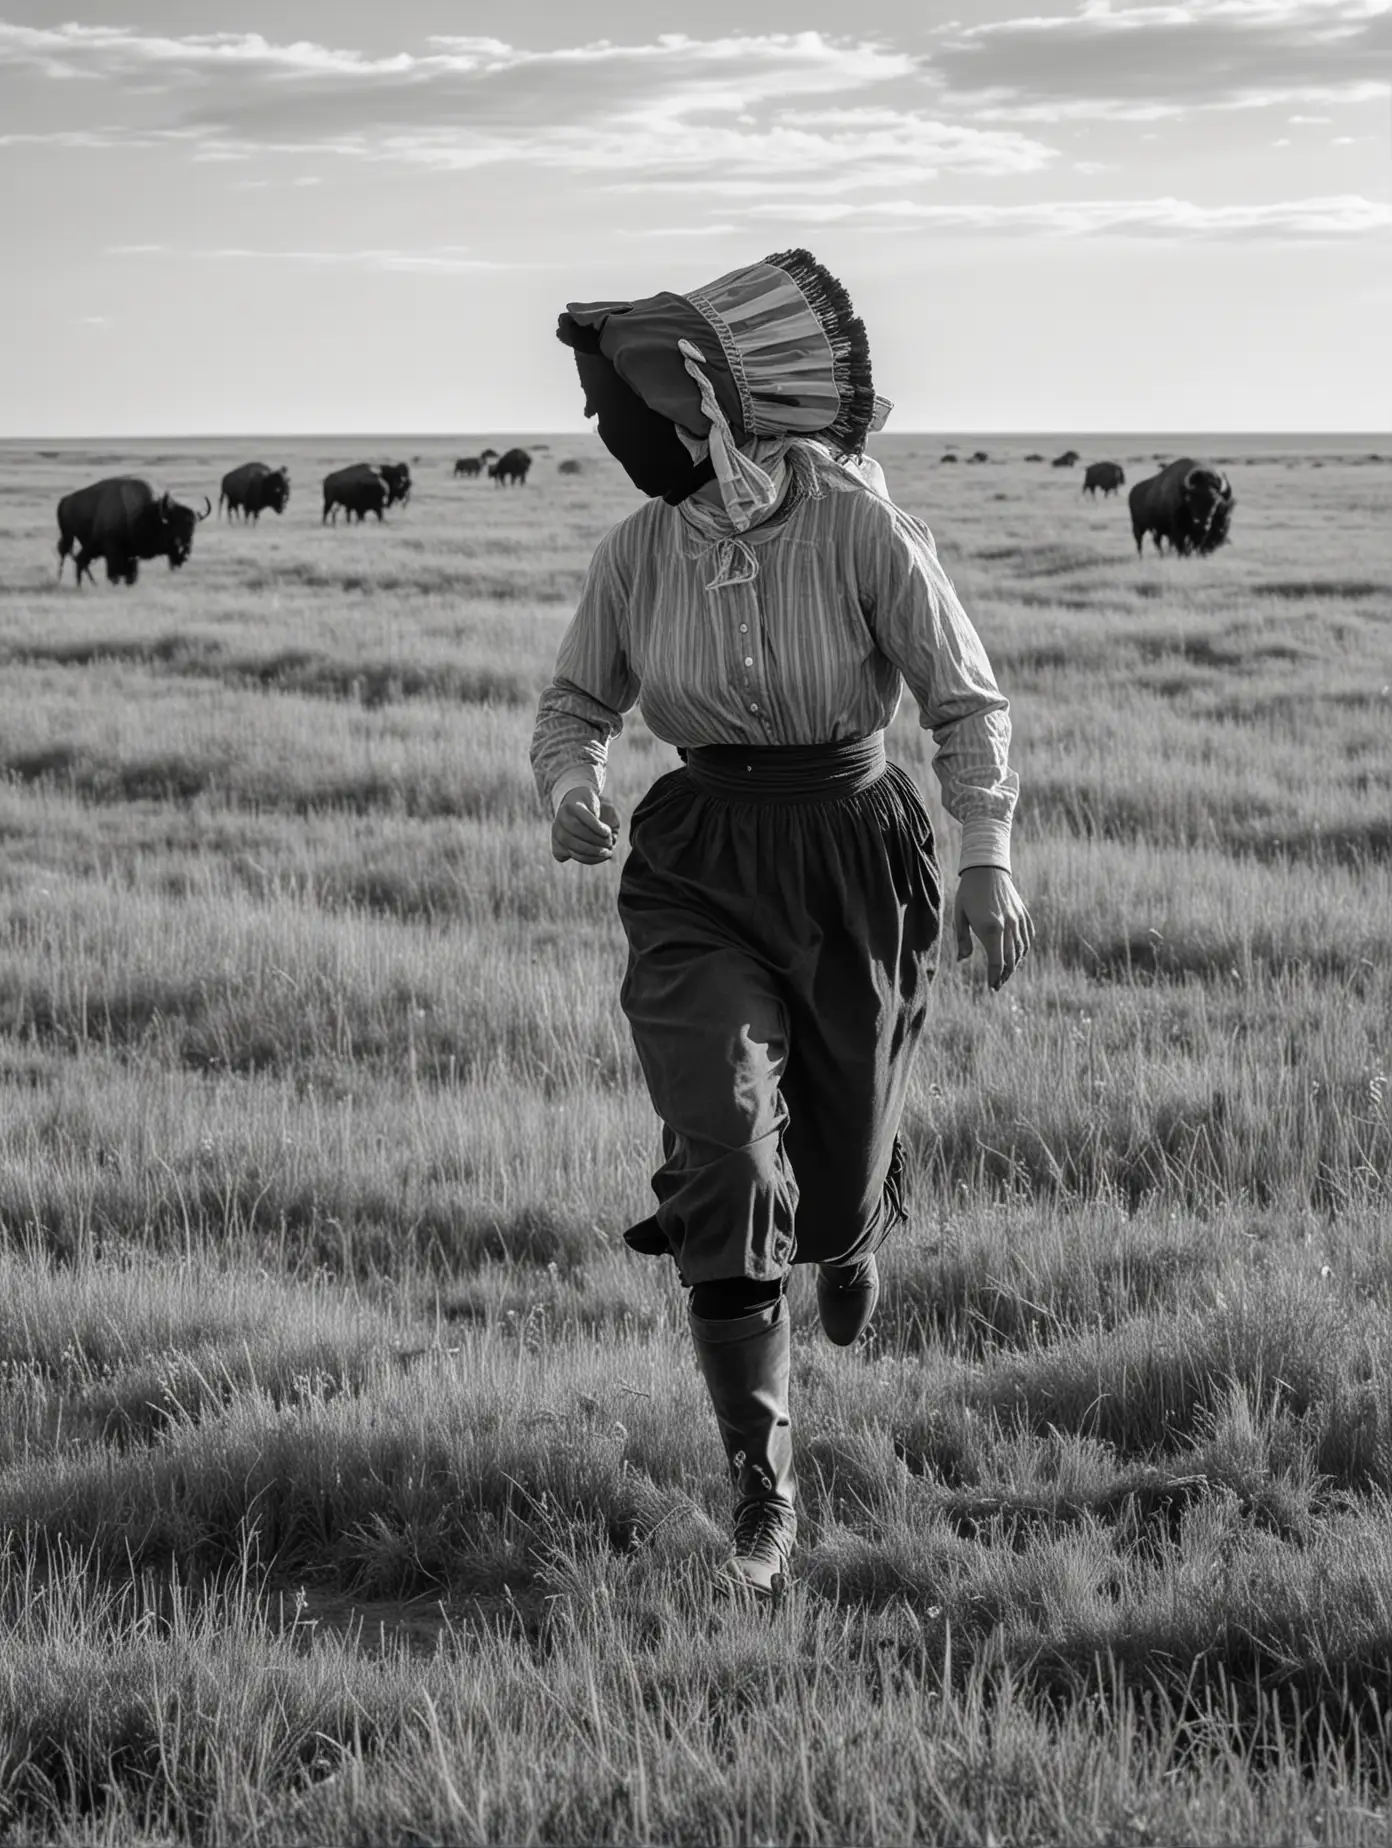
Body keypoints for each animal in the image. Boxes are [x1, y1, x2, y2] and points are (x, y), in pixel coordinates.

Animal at [57, 476, 211, 583]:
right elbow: (114, 574)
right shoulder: (114, 552)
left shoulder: (131, 556)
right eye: (174, 526)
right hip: (69, 537)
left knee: (80, 560)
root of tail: (65, 501)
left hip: (87, 546)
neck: (147, 513)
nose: (185, 551)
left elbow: (130, 575)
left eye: (193, 527)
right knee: (71, 558)